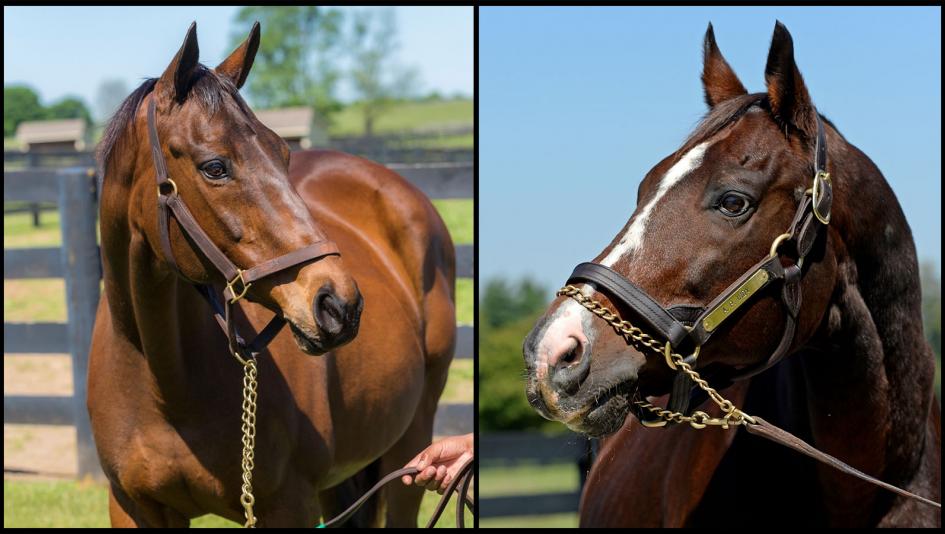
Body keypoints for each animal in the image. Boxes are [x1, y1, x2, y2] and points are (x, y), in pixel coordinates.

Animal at [88, 22, 456, 527]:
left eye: (283, 153)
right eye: (214, 167)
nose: (339, 304)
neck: (164, 381)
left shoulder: (287, 504)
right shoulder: (132, 505)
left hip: (412, 449)